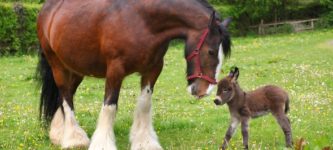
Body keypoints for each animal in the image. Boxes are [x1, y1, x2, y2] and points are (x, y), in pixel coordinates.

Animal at [35, 0, 228, 149]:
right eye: (211, 51)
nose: (204, 90)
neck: (142, 21)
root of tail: (48, 9)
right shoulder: (115, 70)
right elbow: (110, 106)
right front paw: (103, 144)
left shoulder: (153, 69)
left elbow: (144, 104)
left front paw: (145, 142)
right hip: (57, 66)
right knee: (66, 97)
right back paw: (75, 139)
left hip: (76, 69)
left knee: (64, 96)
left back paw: (59, 134)